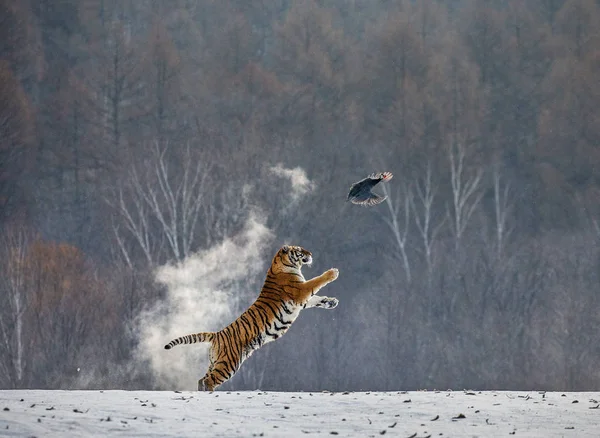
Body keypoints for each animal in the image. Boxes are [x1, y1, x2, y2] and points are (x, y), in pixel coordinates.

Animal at [164, 245, 340, 392]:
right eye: (299, 250)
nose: (310, 254)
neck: (283, 264)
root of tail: (217, 334)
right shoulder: (301, 291)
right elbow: (316, 282)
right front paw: (333, 273)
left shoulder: (302, 300)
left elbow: (317, 299)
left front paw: (331, 302)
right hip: (229, 363)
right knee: (209, 380)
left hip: (216, 361)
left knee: (202, 379)